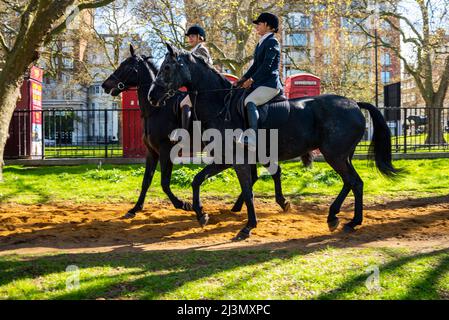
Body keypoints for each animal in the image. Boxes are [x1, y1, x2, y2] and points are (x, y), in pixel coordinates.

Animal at [101, 45, 288, 220]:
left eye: (126, 66)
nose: (105, 85)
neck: (156, 109)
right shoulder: (151, 152)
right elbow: (146, 181)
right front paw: (135, 209)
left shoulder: (165, 150)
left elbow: (164, 183)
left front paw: (184, 204)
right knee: (255, 176)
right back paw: (241, 205)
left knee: (264, 173)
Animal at [148, 44, 400, 240]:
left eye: (167, 68)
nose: (152, 95)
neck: (220, 105)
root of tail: (355, 104)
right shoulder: (224, 159)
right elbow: (198, 180)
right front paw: (201, 214)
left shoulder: (237, 160)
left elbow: (247, 190)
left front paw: (247, 227)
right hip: (341, 155)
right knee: (350, 182)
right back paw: (333, 216)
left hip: (335, 155)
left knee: (355, 183)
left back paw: (352, 221)